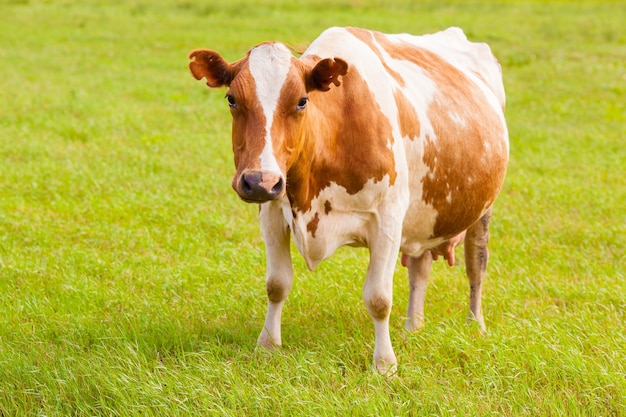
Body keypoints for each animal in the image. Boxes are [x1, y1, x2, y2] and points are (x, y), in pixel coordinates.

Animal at [189, 26, 508, 372]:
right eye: (232, 98)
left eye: (302, 101)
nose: (260, 181)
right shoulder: (272, 212)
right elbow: (277, 284)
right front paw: (268, 345)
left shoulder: (388, 220)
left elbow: (379, 298)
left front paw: (384, 363)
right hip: (425, 214)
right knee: (420, 267)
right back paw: (413, 326)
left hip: (483, 209)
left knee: (476, 265)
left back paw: (475, 325)